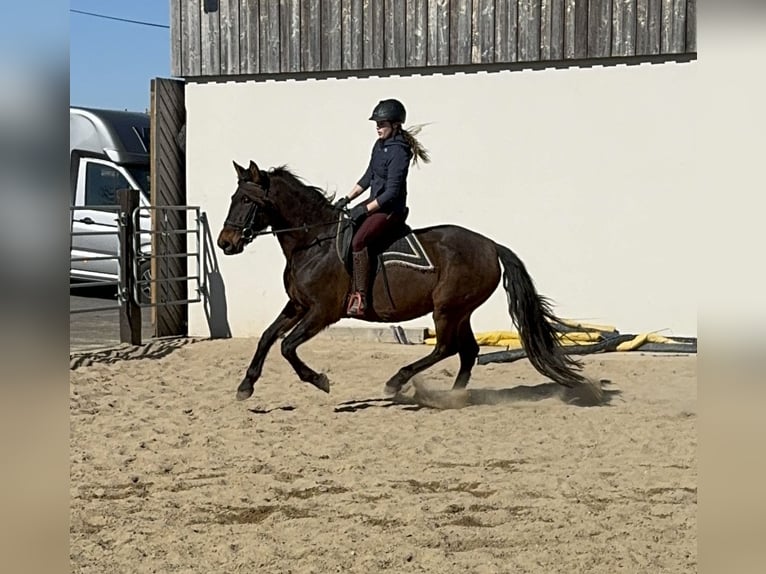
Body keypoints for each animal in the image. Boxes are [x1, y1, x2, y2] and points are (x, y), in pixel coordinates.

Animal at [219, 161, 604, 404]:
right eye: (233, 198)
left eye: (246, 200)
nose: (225, 243)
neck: (314, 241)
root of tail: (491, 245)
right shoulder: (298, 305)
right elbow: (268, 337)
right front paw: (245, 385)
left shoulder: (322, 312)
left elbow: (287, 346)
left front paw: (320, 381)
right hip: (460, 311)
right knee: (467, 351)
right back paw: (453, 396)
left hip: (447, 309)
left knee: (446, 348)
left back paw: (398, 382)